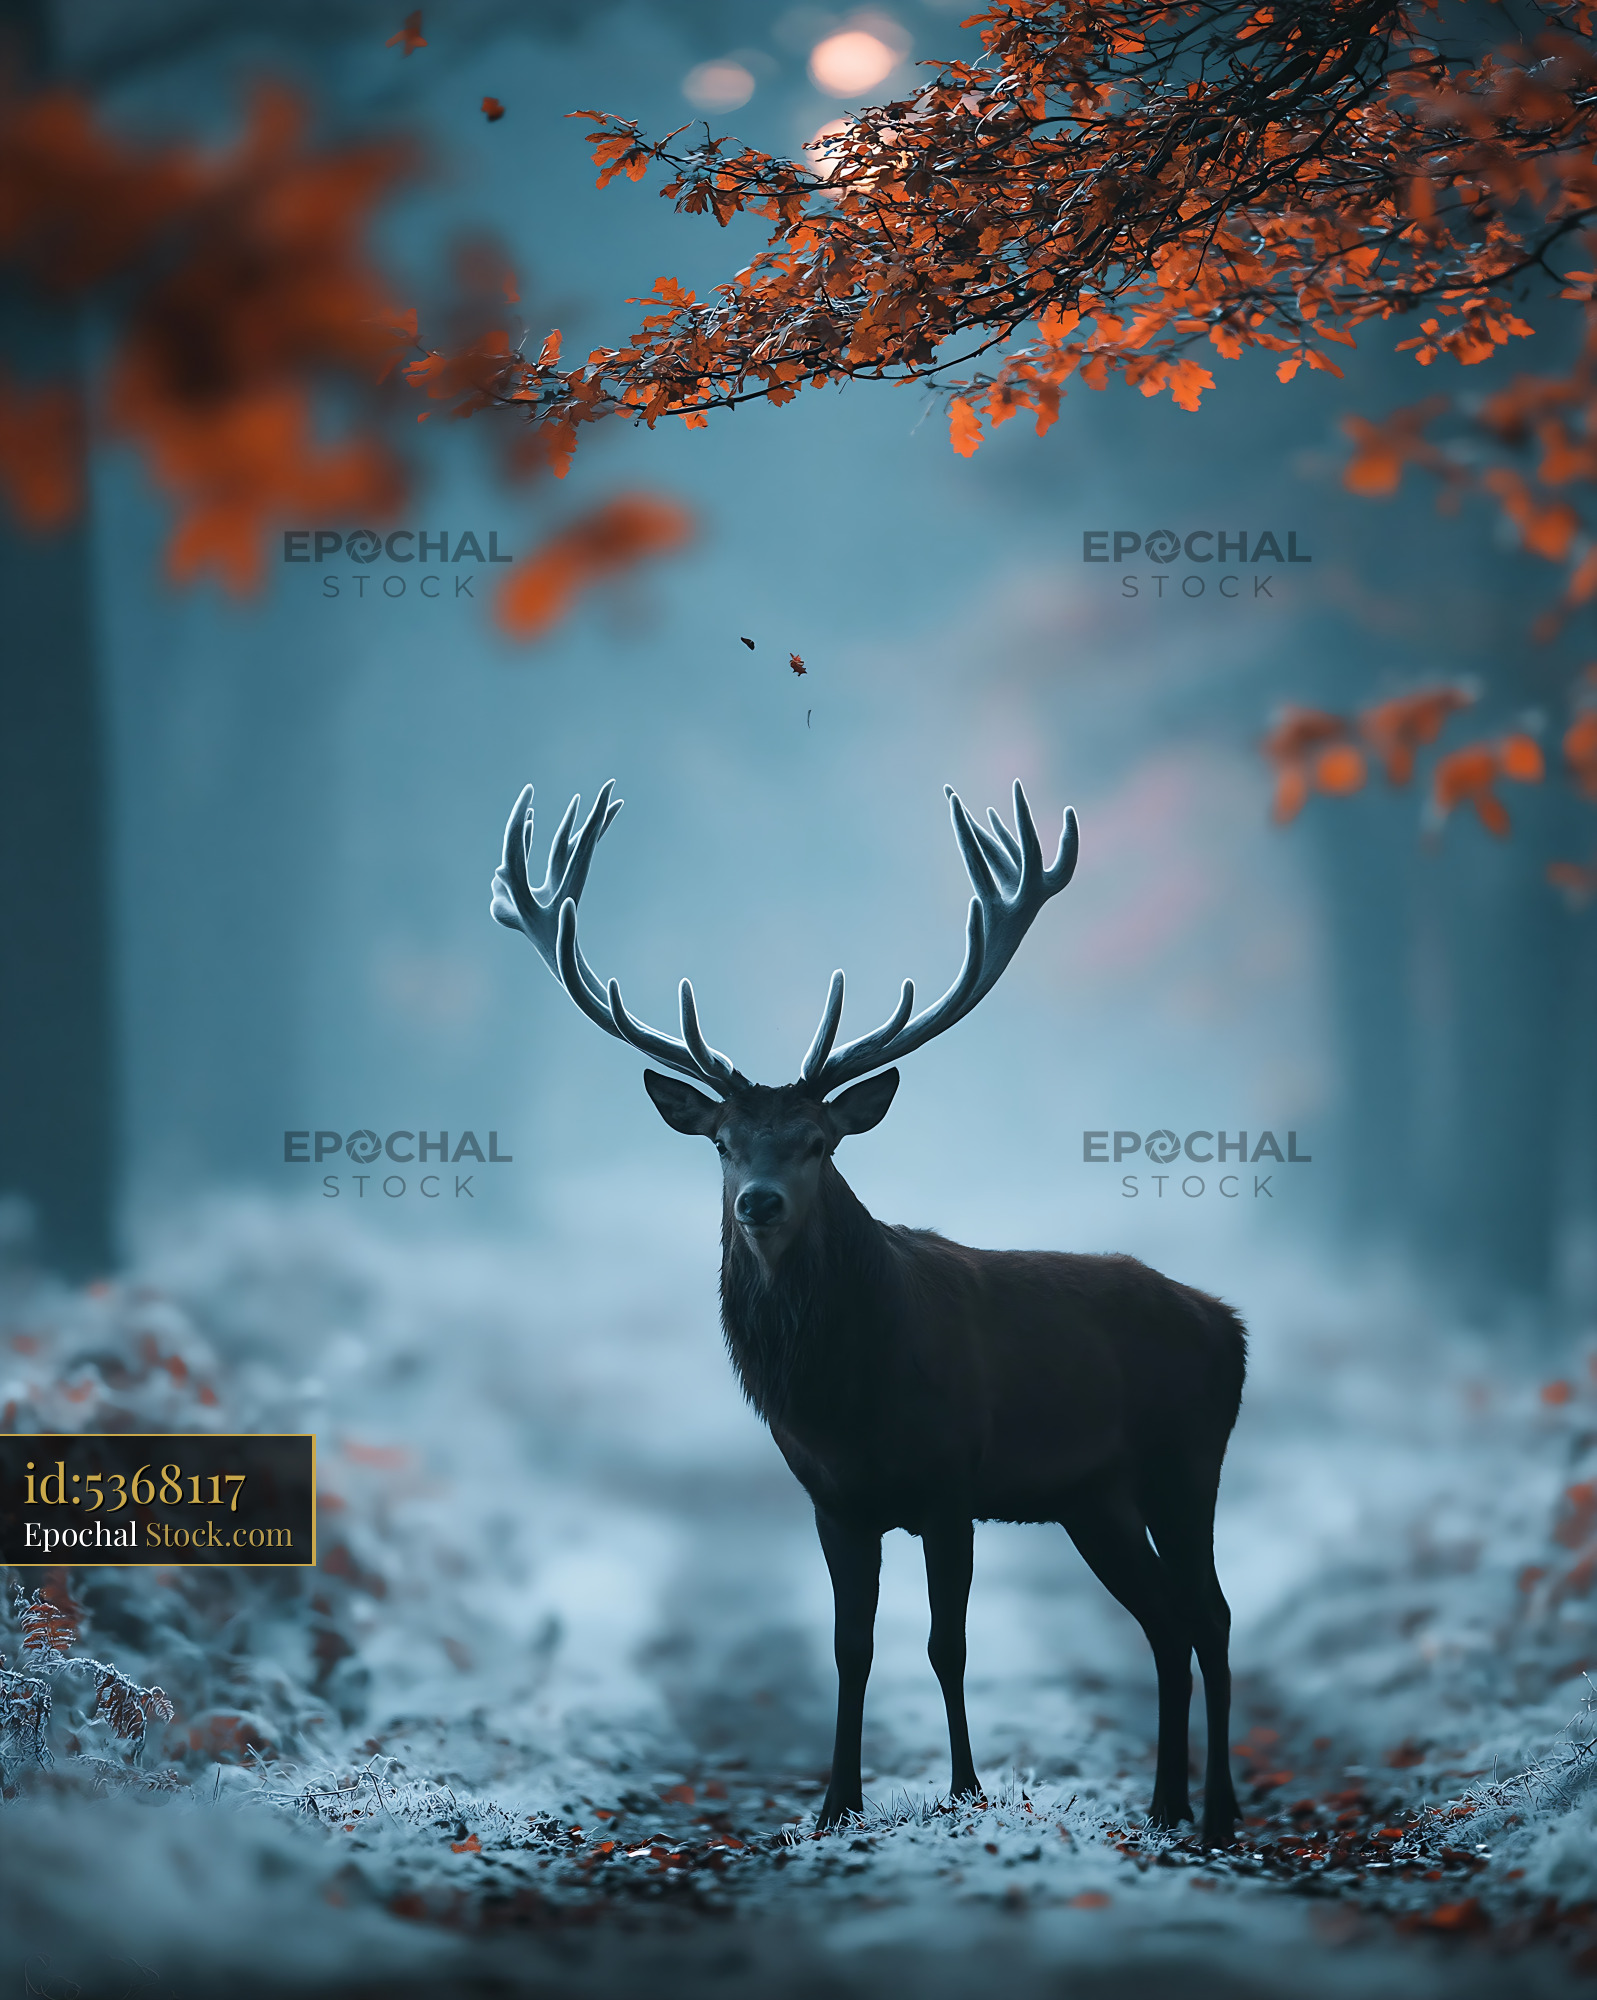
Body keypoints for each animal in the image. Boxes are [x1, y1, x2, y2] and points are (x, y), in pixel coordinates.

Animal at [491, 777, 1246, 1847]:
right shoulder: (832, 1500)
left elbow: (946, 1644)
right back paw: (1163, 1802)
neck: (846, 1398)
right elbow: (852, 1649)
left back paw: (1215, 1812)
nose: (758, 1203)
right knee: (1164, 1621)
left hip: (1186, 1459)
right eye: (722, 1141)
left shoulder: (949, 1483)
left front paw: (965, 1793)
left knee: (1209, 1615)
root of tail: (1228, 1325)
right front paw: (833, 1803)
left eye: (817, 1142)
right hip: (1090, 1498)